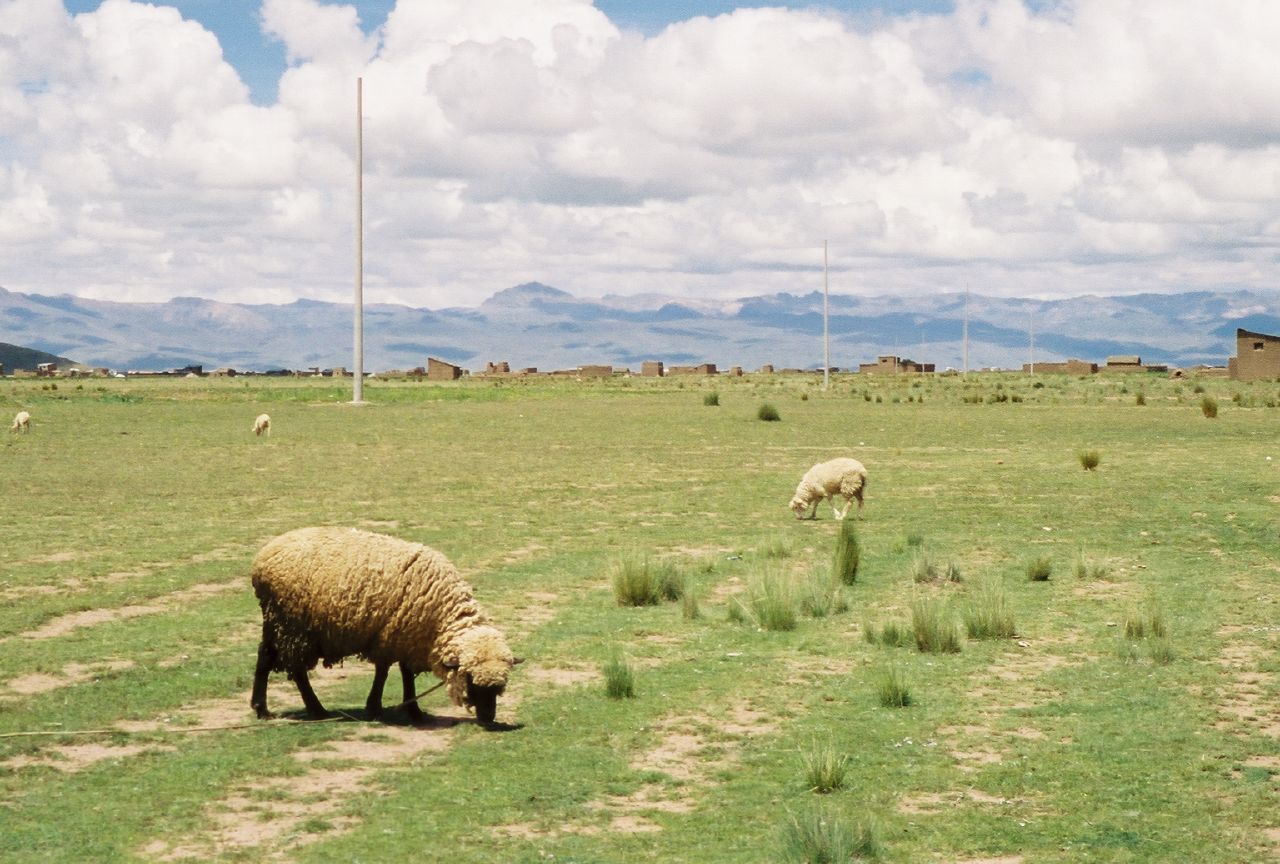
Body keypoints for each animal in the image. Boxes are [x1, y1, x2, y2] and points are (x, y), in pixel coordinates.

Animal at [249, 527, 519, 721]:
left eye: (500, 688)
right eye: (471, 681)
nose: (488, 719)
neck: (441, 614)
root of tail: (261, 560)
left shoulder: (406, 636)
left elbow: (404, 673)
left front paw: (412, 710)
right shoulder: (392, 635)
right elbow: (386, 671)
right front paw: (377, 707)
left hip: (278, 621)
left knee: (264, 657)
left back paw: (262, 709)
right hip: (293, 625)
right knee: (297, 669)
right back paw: (316, 710)